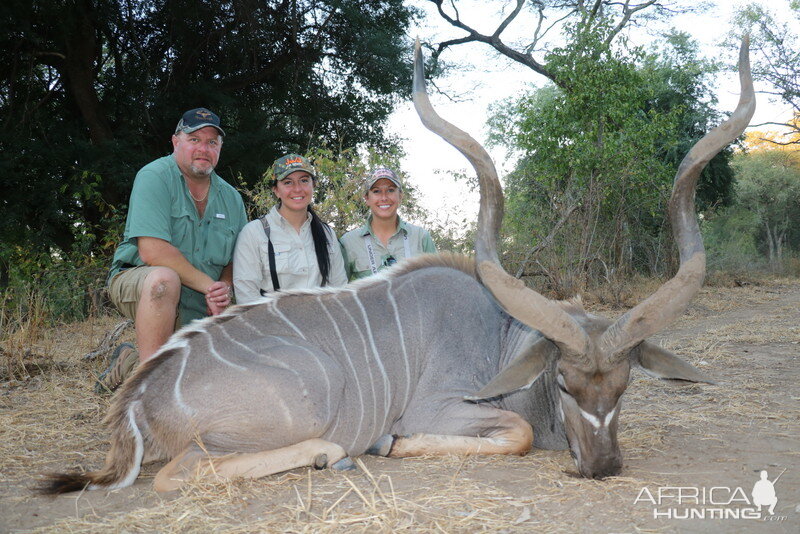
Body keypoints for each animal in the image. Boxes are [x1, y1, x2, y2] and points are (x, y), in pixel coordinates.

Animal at [45, 39, 756, 496]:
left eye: (626, 385)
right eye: (562, 382)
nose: (604, 466)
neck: (500, 337)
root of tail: (138, 405)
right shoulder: (445, 408)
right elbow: (519, 432)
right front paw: (395, 445)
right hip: (307, 397)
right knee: (179, 472)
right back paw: (333, 454)